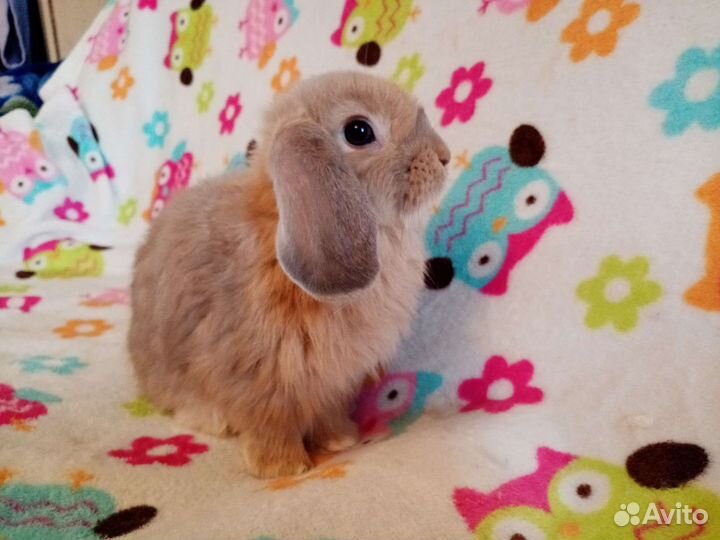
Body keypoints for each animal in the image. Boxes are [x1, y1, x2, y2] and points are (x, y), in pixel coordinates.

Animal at [128, 71, 450, 479]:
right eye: (359, 131)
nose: (444, 157)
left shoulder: (332, 385)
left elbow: (326, 415)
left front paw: (340, 440)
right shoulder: (257, 381)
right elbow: (270, 425)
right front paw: (283, 467)